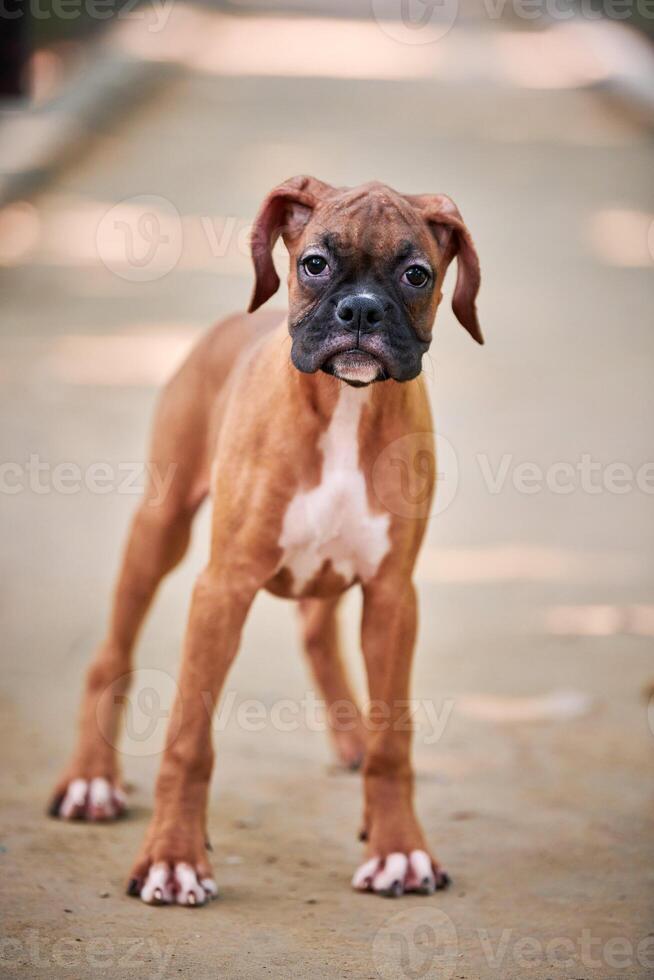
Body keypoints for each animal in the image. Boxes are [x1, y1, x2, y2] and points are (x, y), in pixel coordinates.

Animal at [50, 176, 482, 904]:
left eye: (416, 274)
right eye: (314, 264)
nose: (361, 312)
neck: (345, 409)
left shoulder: (393, 597)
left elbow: (394, 740)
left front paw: (398, 849)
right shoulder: (222, 590)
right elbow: (189, 742)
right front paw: (174, 859)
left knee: (316, 632)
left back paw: (352, 743)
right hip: (159, 529)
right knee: (110, 655)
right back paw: (91, 782)